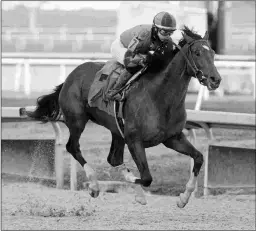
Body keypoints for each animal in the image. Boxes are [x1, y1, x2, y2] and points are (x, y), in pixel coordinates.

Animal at [27, 26, 221, 208]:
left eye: (212, 53)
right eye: (197, 53)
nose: (215, 79)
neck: (160, 97)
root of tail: (71, 76)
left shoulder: (173, 138)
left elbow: (198, 158)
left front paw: (183, 197)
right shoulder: (134, 139)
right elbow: (146, 177)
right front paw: (129, 183)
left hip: (116, 130)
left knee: (113, 158)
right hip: (77, 120)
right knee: (73, 147)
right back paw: (95, 185)